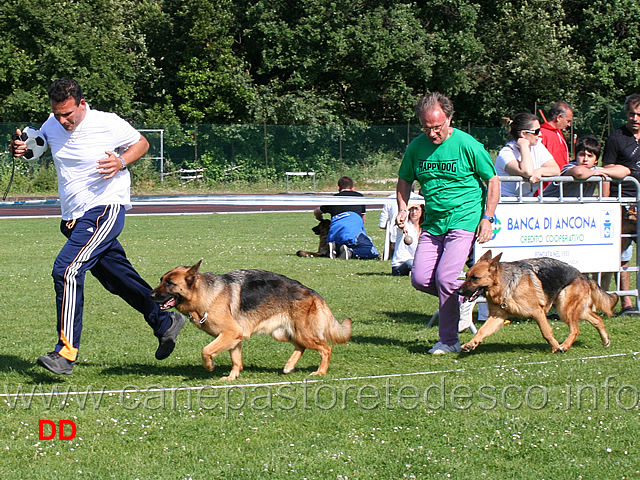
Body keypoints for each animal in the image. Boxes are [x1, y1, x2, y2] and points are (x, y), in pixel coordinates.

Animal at [148, 260, 352, 380]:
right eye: (161, 280)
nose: (150, 295)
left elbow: (206, 351)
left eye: (170, 283)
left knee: (326, 348)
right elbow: (236, 360)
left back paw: (320, 371)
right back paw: (289, 366)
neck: (204, 294)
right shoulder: (234, 338)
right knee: (301, 347)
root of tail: (314, 294)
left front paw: (210, 366)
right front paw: (232, 378)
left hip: (304, 333)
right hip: (285, 334)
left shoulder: (230, 333)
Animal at [458, 251, 616, 352]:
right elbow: (482, 331)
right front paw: (471, 344)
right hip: (574, 309)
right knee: (597, 319)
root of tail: (583, 276)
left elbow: (546, 332)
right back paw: (605, 341)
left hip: (565, 309)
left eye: (475, 278)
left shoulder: (537, 312)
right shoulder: (497, 317)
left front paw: (555, 347)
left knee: (576, 329)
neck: (507, 285)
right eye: (466, 276)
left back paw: (564, 346)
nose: (458, 292)